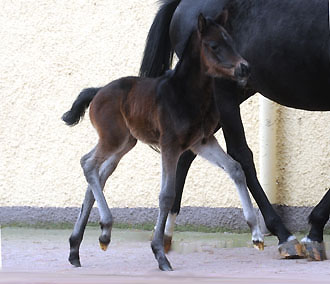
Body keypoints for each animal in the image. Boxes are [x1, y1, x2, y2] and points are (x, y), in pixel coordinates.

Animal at [63, 13, 262, 270]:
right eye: (214, 45)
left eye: (232, 42)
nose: (244, 68)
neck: (187, 94)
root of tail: (98, 91)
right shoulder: (170, 145)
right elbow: (167, 195)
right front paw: (159, 253)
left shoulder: (202, 141)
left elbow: (236, 169)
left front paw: (257, 234)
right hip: (113, 138)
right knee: (88, 164)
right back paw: (102, 229)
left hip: (126, 142)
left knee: (100, 173)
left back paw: (80, 246)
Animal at [139, 0, 330, 260]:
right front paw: (314, 234)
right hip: (223, 91)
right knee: (240, 154)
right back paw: (284, 236)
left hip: (233, 92)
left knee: (187, 151)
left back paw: (166, 234)